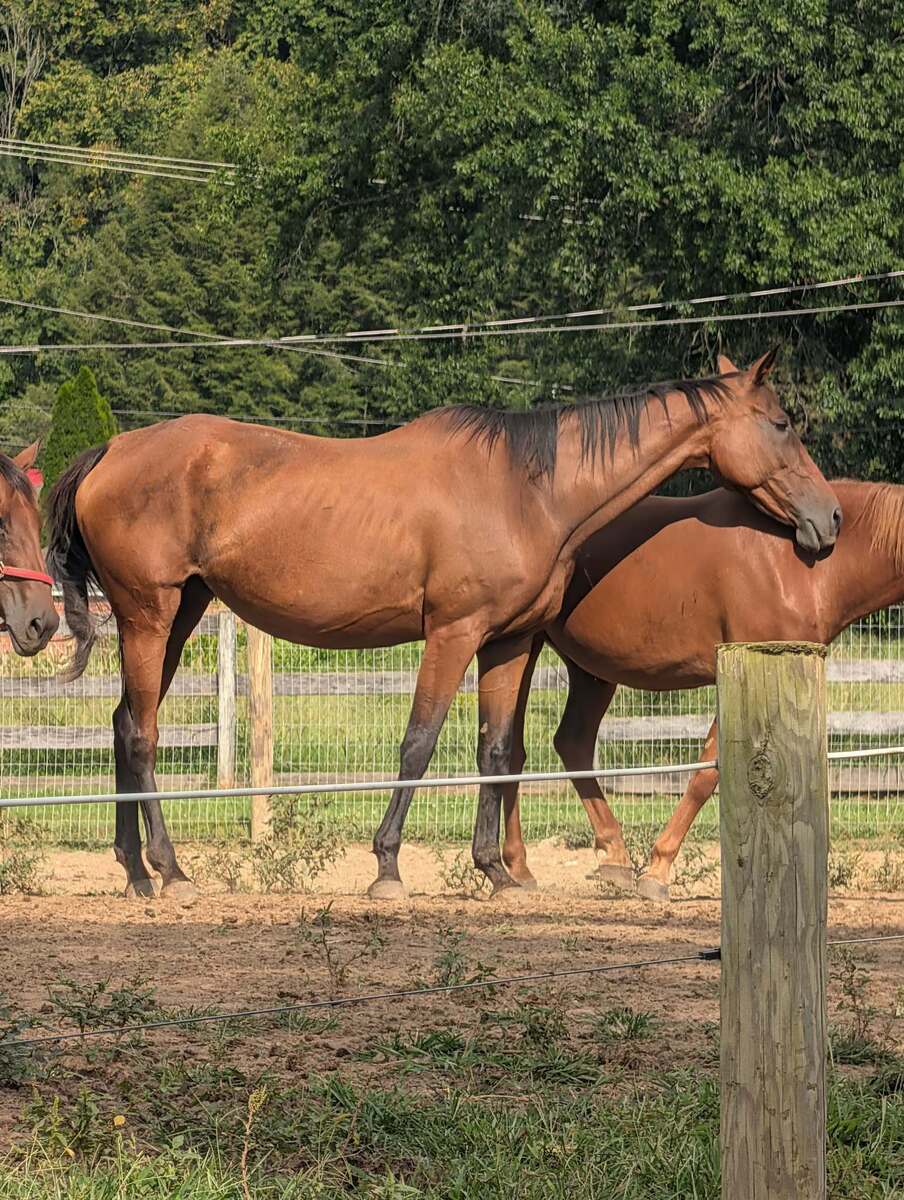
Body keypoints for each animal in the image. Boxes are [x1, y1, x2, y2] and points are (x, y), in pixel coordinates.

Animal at [45, 350, 841, 901]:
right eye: (781, 424)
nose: (829, 518)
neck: (528, 490)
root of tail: (111, 451)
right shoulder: (452, 634)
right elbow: (420, 743)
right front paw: (388, 868)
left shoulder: (507, 642)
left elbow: (497, 749)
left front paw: (498, 873)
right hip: (149, 614)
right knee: (143, 734)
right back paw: (172, 872)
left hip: (180, 614)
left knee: (123, 723)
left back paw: (134, 871)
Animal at [499, 478, 902, 902]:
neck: (803, 567)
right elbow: (707, 776)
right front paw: (658, 872)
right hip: (524, 648)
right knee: (513, 748)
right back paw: (519, 866)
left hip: (590, 671)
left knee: (569, 743)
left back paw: (610, 858)